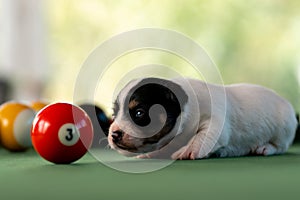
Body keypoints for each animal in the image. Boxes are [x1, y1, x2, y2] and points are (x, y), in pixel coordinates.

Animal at [108, 77, 298, 160]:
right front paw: (151, 154)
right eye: (114, 113)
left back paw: (264, 148)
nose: (114, 135)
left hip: (283, 130)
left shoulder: (216, 122)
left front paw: (189, 150)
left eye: (139, 113)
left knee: (279, 146)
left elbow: (202, 136)